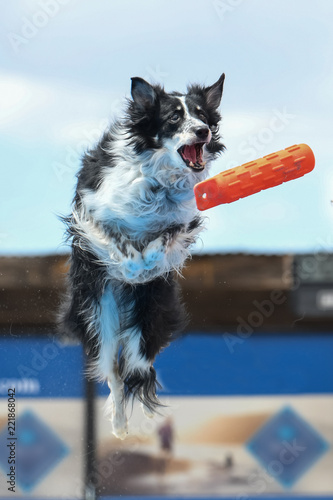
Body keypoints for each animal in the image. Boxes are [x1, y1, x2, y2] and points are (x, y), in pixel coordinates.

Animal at [59, 74, 226, 438]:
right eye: (174, 118)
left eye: (202, 116)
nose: (202, 132)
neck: (157, 179)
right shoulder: (92, 212)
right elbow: (113, 241)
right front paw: (131, 264)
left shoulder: (183, 221)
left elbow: (164, 240)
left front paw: (147, 263)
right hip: (99, 319)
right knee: (113, 372)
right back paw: (119, 425)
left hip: (150, 316)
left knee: (136, 364)